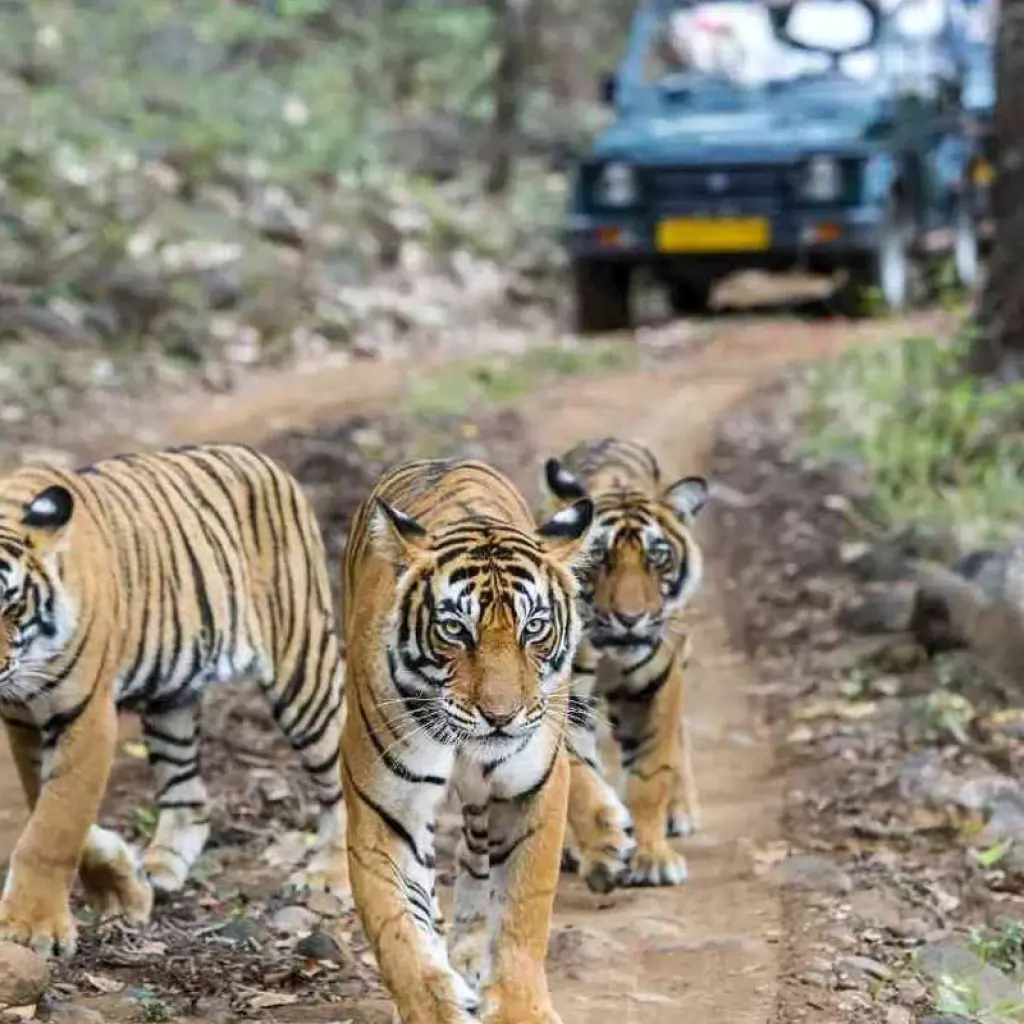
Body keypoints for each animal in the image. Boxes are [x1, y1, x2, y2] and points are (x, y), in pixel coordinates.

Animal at [0, 443, 348, 958]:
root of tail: (262, 459)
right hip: (171, 699)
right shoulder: (22, 718)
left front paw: (32, 927)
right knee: (190, 797)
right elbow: (49, 805)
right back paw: (160, 869)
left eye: (9, 605)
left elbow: (56, 824)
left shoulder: (84, 714)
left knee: (341, 775)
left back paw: (330, 873)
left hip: (303, 668)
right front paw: (123, 888)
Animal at [341, 457, 594, 1024]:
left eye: (534, 628)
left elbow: (523, 908)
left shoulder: (533, 790)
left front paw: (519, 1007)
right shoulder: (385, 809)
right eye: (456, 630)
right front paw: (433, 1006)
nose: (501, 717)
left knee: (478, 856)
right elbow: (399, 931)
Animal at [539, 437, 709, 891]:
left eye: (657, 557)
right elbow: (579, 777)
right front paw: (604, 846)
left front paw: (652, 858)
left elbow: (651, 773)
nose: (630, 618)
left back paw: (680, 812)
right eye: (600, 558)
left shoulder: (657, 685)